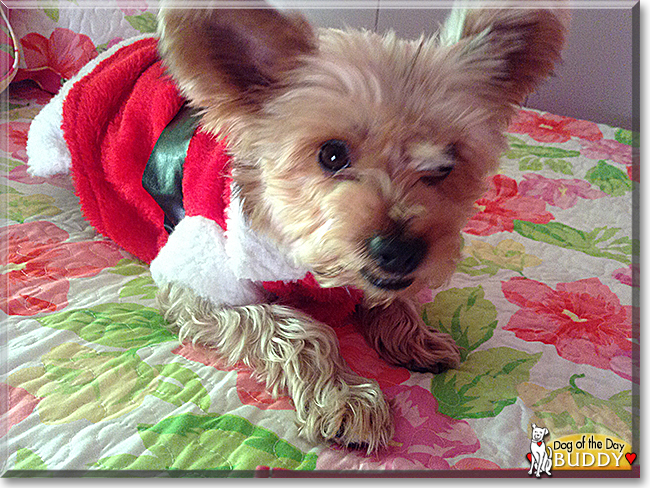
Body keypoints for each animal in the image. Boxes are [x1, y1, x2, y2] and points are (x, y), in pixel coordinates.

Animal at [25, 0, 564, 454]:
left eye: (446, 163)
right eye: (332, 154)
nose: (400, 251)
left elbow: (387, 297)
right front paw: (346, 398)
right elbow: (298, 329)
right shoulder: (201, 282)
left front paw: (414, 334)